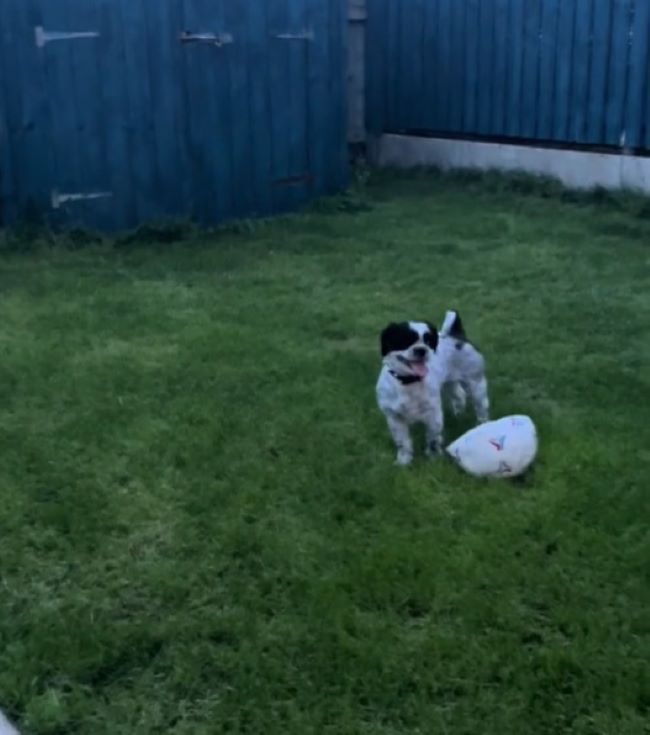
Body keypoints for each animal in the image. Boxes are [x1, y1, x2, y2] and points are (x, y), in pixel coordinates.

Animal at [374, 310, 486, 466]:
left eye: (428, 341)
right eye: (405, 339)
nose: (421, 349)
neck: (409, 381)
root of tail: (454, 334)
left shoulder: (433, 415)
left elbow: (433, 439)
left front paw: (434, 459)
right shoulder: (394, 417)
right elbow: (402, 443)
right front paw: (404, 461)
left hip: (475, 383)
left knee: (481, 407)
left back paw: (483, 425)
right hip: (450, 383)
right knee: (459, 395)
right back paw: (458, 415)